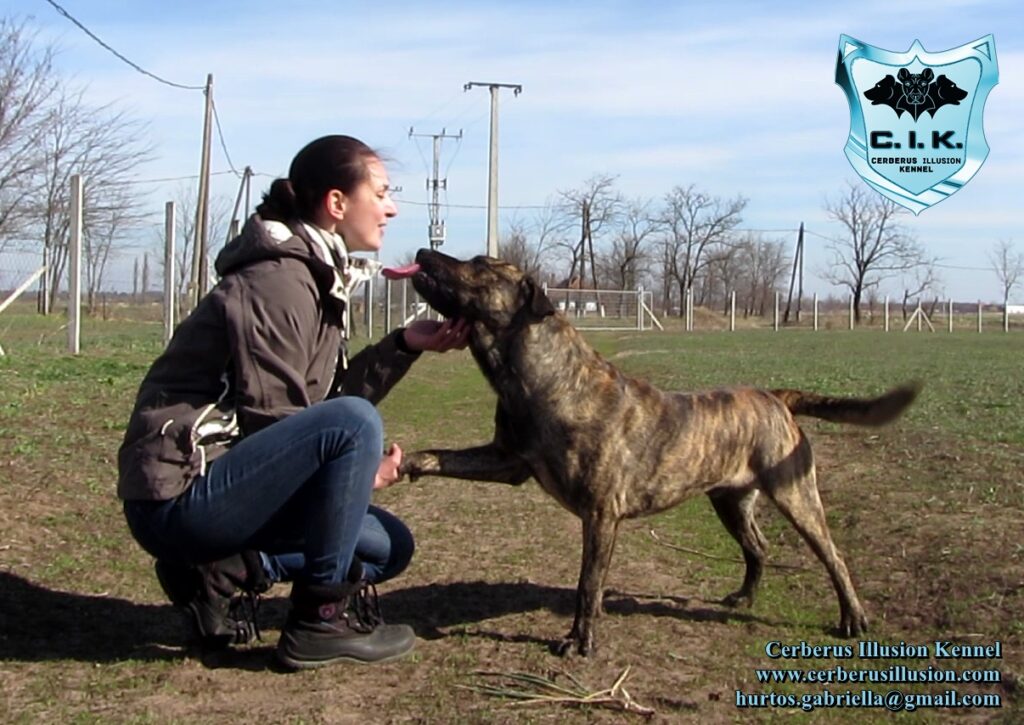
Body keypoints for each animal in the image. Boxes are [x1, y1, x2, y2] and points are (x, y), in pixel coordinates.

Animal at [399, 250, 921, 655]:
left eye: (479, 265)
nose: (423, 251)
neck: (544, 377)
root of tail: (775, 397)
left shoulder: (600, 515)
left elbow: (589, 584)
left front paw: (580, 641)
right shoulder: (506, 460)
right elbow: (445, 455)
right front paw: (407, 461)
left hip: (796, 495)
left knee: (832, 555)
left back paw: (852, 617)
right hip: (730, 502)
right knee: (758, 547)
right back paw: (744, 598)